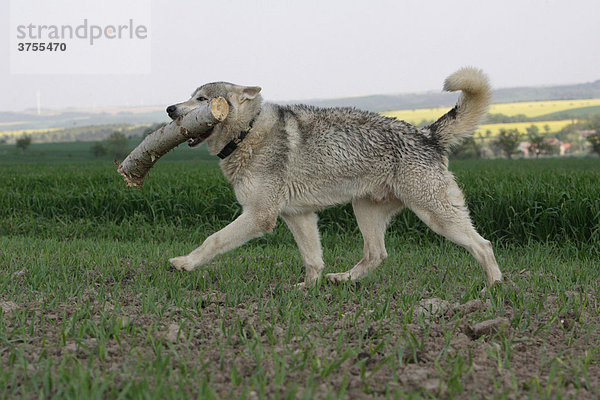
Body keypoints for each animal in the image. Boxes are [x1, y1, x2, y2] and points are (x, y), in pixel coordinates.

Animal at [165, 69, 502, 288]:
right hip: (364, 212)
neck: (247, 134)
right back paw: (343, 279)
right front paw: (308, 289)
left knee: (483, 244)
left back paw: (494, 288)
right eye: (190, 97)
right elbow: (313, 259)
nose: (169, 108)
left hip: (437, 217)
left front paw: (185, 263)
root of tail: (426, 134)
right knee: (376, 254)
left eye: (201, 99)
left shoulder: (260, 216)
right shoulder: (299, 215)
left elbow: (213, 240)